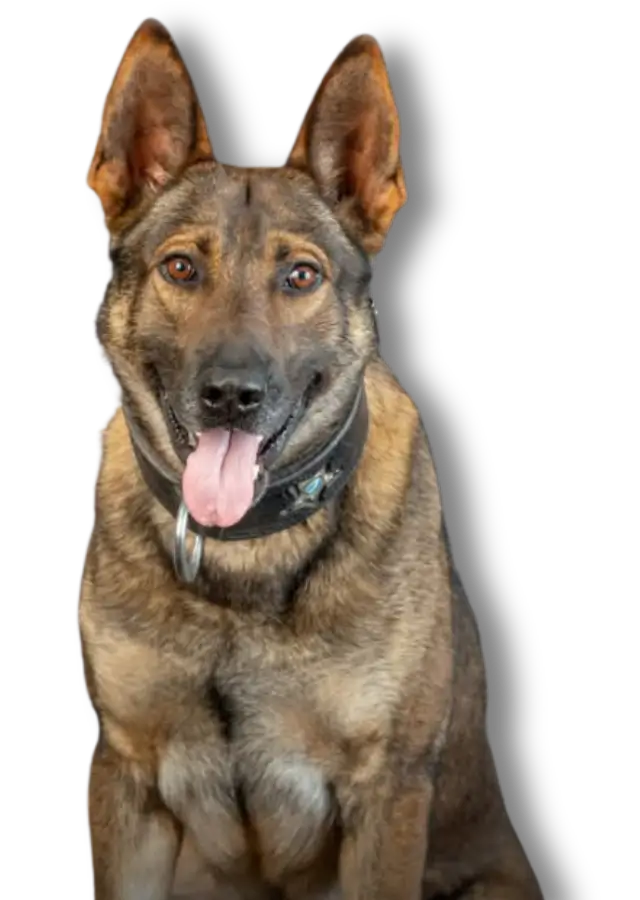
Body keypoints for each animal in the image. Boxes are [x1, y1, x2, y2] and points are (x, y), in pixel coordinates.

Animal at [79, 17, 544, 899]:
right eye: (181, 267)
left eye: (301, 275)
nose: (232, 394)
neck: (242, 557)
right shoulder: (128, 778)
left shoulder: (387, 795)